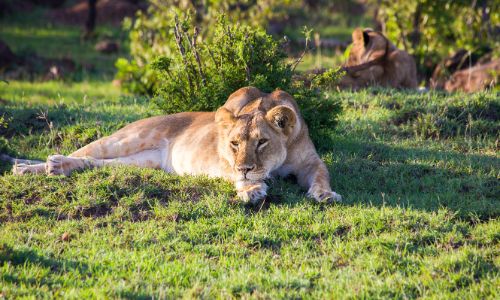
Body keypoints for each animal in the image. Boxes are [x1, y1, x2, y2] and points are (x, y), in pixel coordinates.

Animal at [8, 86, 344, 204]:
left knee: (94, 165)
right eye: (234, 144)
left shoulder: (310, 161)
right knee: (83, 153)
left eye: (262, 142)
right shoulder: (224, 161)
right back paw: (31, 166)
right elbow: (240, 178)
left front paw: (325, 194)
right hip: (126, 139)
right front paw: (250, 188)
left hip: (142, 161)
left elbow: (321, 175)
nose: (246, 168)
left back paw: (44, 167)